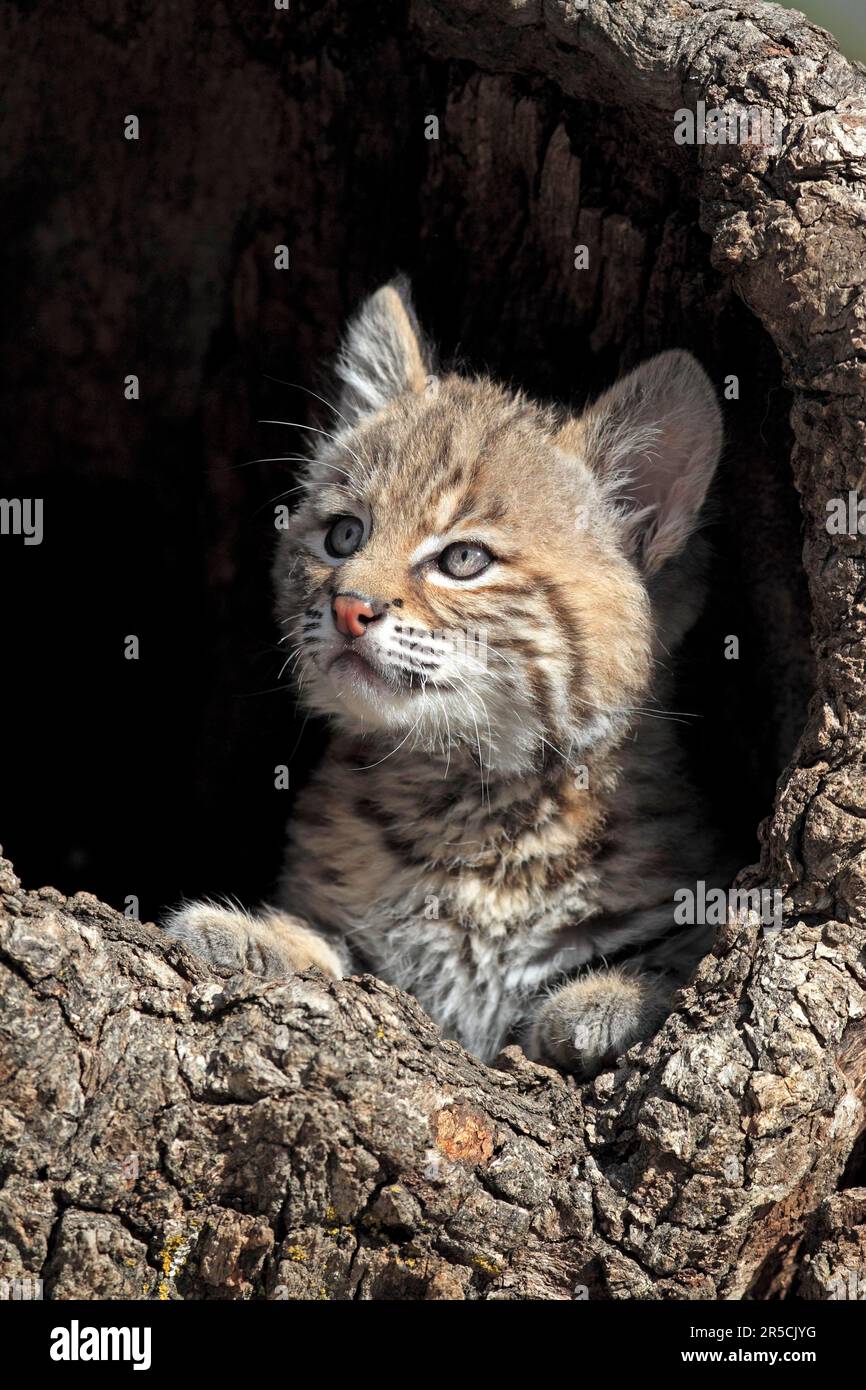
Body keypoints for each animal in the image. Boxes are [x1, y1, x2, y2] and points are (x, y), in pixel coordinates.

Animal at [164, 273, 722, 1073]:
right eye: (343, 535)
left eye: (463, 559)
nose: (348, 607)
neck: (471, 798)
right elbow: (337, 950)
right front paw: (252, 935)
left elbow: (685, 953)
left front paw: (609, 995)